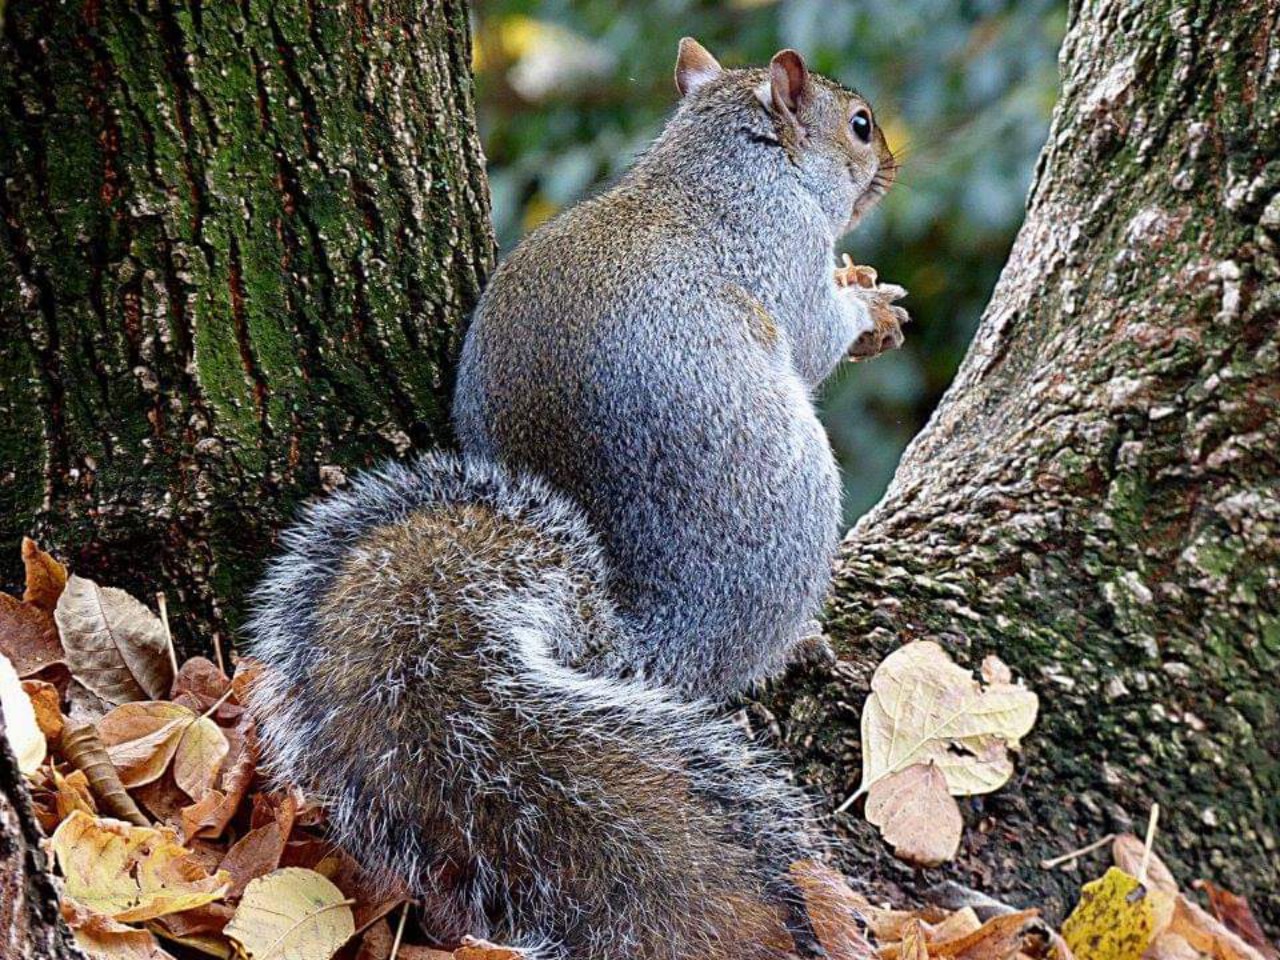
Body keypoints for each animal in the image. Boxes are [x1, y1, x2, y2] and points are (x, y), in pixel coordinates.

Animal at [247, 39, 905, 960]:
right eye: (859, 124)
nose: (891, 166)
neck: (722, 161)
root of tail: (632, 639)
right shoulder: (781, 247)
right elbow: (816, 334)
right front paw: (870, 305)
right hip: (797, 505)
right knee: (734, 667)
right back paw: (793, 644)